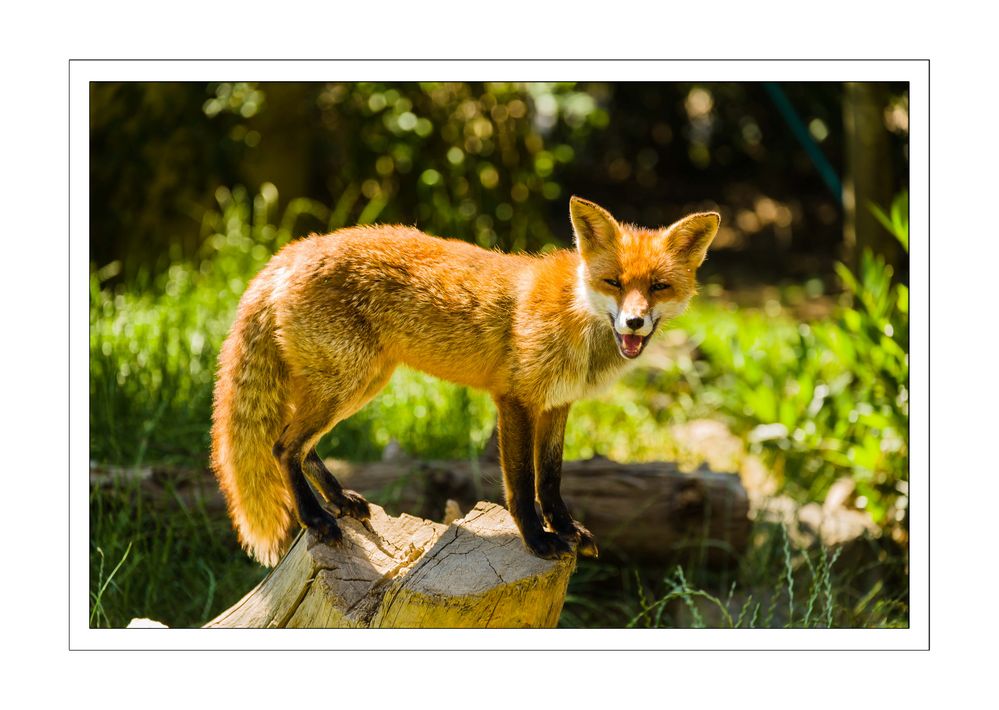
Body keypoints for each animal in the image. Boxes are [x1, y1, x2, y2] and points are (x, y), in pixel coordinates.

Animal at [211, 196, 720, 568]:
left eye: (658, 287)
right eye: (613, 281)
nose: (634, 323)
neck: (577, 316)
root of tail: (292, 249)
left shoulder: (558, 405)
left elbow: (551, 479)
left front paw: (567, 530)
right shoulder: (515, 400)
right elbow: (522, 485)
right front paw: (538, 540)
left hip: (358, 385)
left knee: (302, 446)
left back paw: (338, 500)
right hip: (346, 385)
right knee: (282, 446)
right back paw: (316, 519)